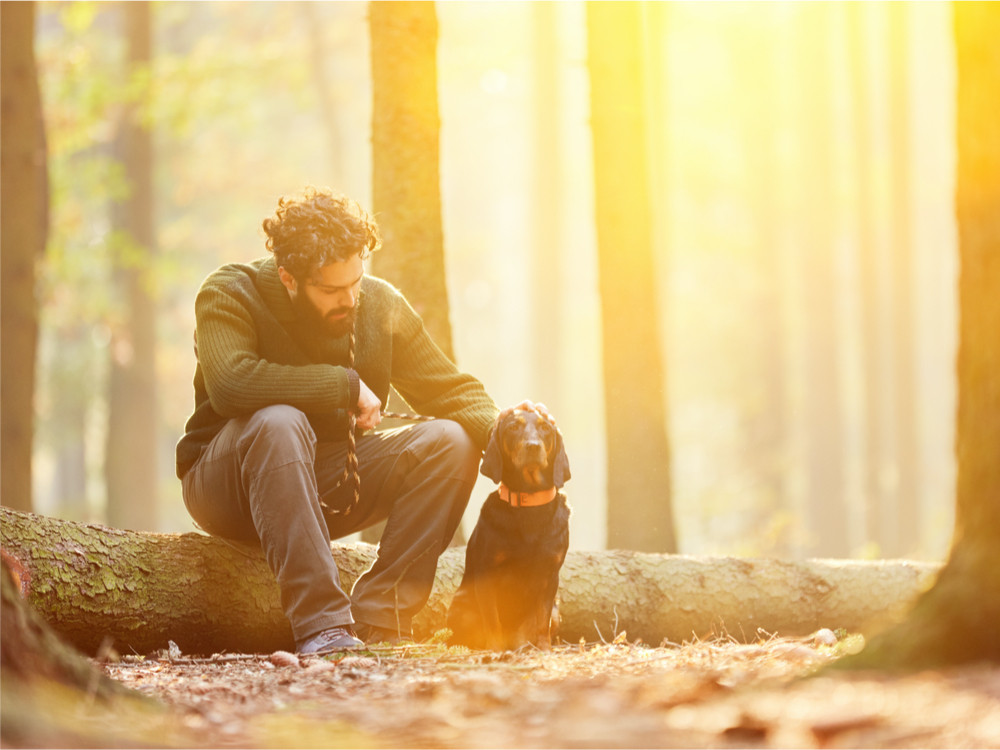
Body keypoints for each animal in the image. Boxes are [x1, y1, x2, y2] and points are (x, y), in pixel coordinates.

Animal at [448, 408, 572, 648]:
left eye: (545, 427)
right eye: (514, 427)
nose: (533, 446)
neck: (529, 503)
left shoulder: (550, 575)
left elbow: (542, 622)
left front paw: (544, 649)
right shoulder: (488, 574)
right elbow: (492, 622)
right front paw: (496, 650)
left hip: (556, 610)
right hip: (461, 605)